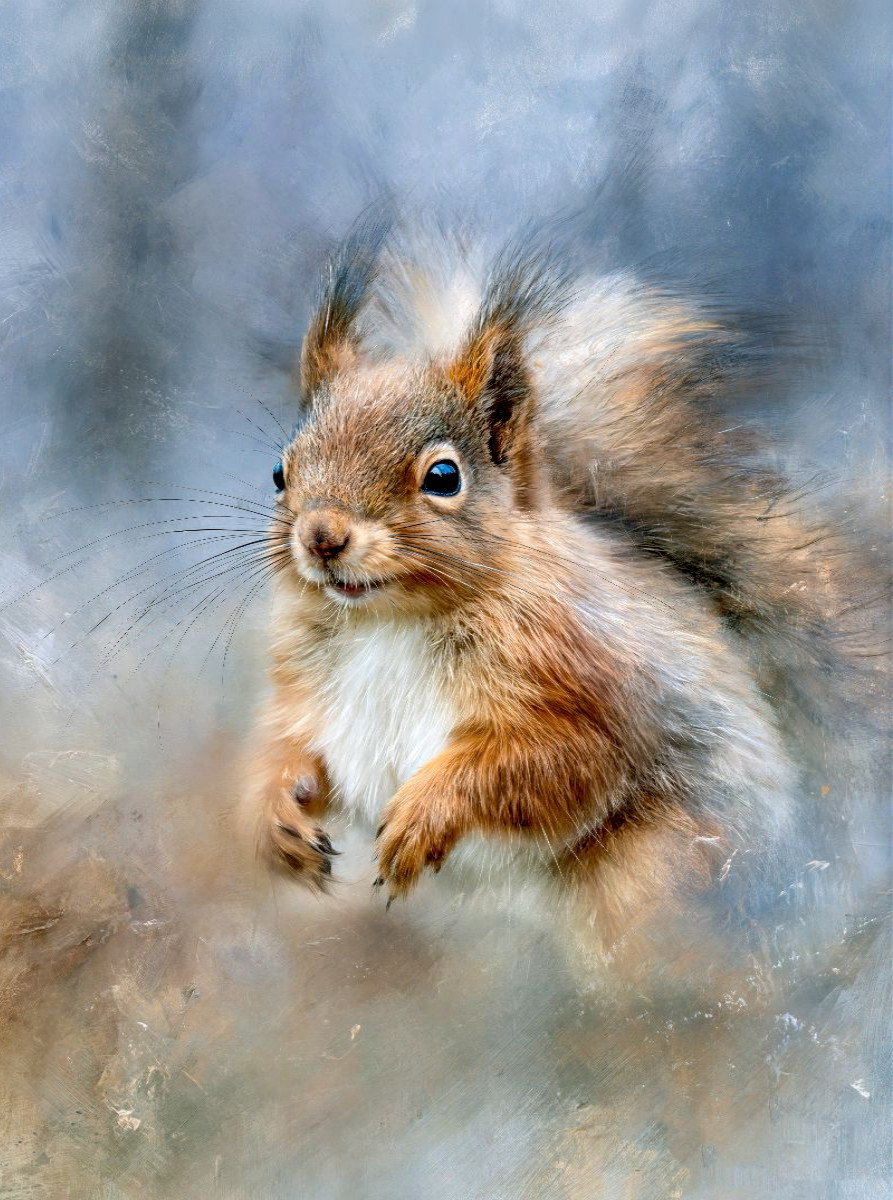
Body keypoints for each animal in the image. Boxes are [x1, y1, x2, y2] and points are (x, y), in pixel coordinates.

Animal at [245, 217, 879, 937]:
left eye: (443, 476)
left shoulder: (592, 683)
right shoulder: (306, 687)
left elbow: (555, 764)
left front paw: (422, 815)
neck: (388, 623)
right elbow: (291, 747)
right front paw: (274, 815)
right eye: (280, 471)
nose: (322, 537)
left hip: (656, 872)